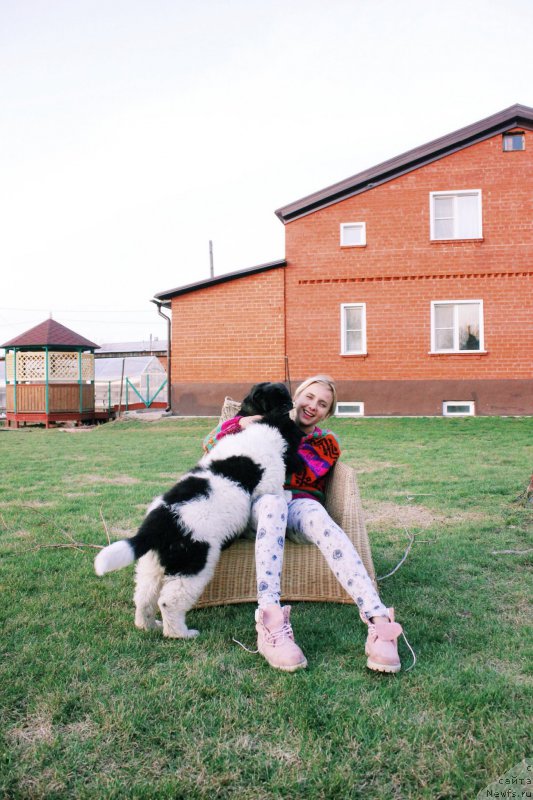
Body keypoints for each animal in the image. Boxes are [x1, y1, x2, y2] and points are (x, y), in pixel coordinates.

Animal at [94, 384, 300, 640]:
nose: (292, 404)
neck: (266, 428)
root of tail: (158, 524)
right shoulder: (268, 481)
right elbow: (276, 489)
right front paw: (288, 494)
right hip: (194, 563)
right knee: (169, 602)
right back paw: (182, 633)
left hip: (152, 564)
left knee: (143, 596)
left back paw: (148, 626)